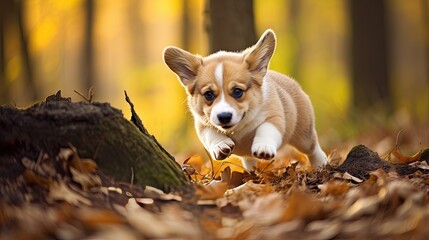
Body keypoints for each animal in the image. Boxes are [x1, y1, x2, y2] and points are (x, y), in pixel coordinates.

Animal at [162, 29, 326, 171]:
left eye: (237, 92)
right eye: (208, 94)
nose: (224, 117)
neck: (238, 128)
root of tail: (292, 82)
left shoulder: (274, 117)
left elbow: (265, 129)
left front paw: (263, 147)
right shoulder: (202, 124)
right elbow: (211, 134)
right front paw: (221, 145)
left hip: (303, 135)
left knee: (313, 148)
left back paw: (321, 163)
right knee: (248, 160)